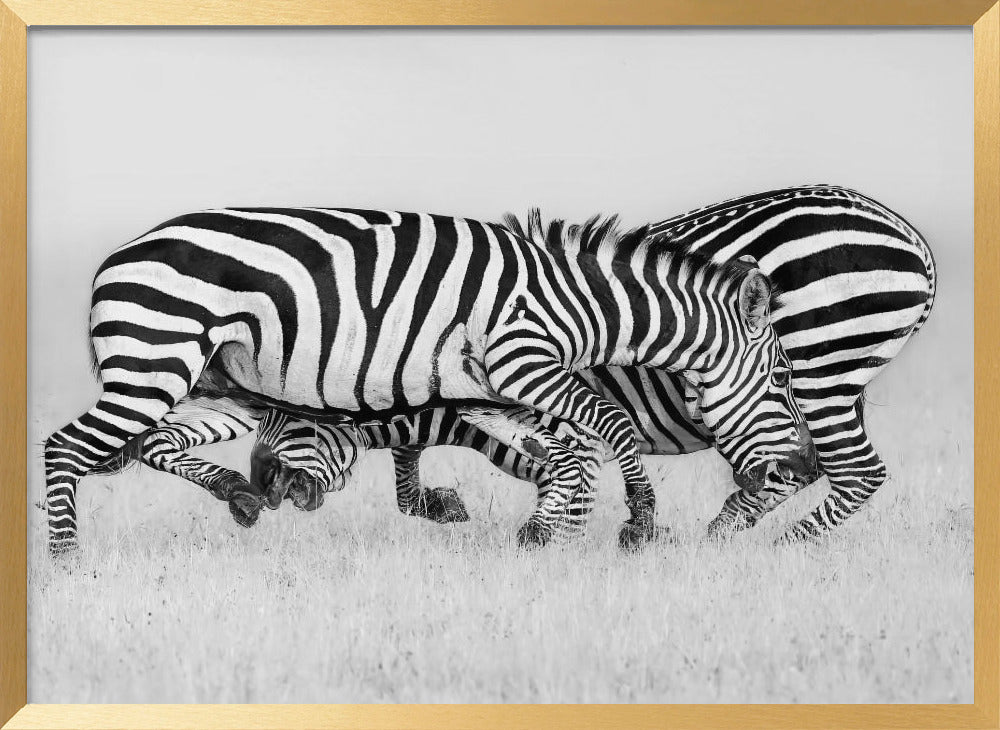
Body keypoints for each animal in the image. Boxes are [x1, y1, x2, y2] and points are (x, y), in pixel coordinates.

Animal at [44, 205, 815, 553]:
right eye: (783, 377)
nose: (806, 468)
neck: (582, 303)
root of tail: (116, 256)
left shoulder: (493, 389)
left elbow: (559, 450)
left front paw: (549, 530)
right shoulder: (523, 358)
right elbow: (609, 426)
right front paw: (639, 521)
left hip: (211, 380)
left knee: (154, 444)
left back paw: (237, 491)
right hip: (155, 363)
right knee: (65, 447)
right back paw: (67, 559)